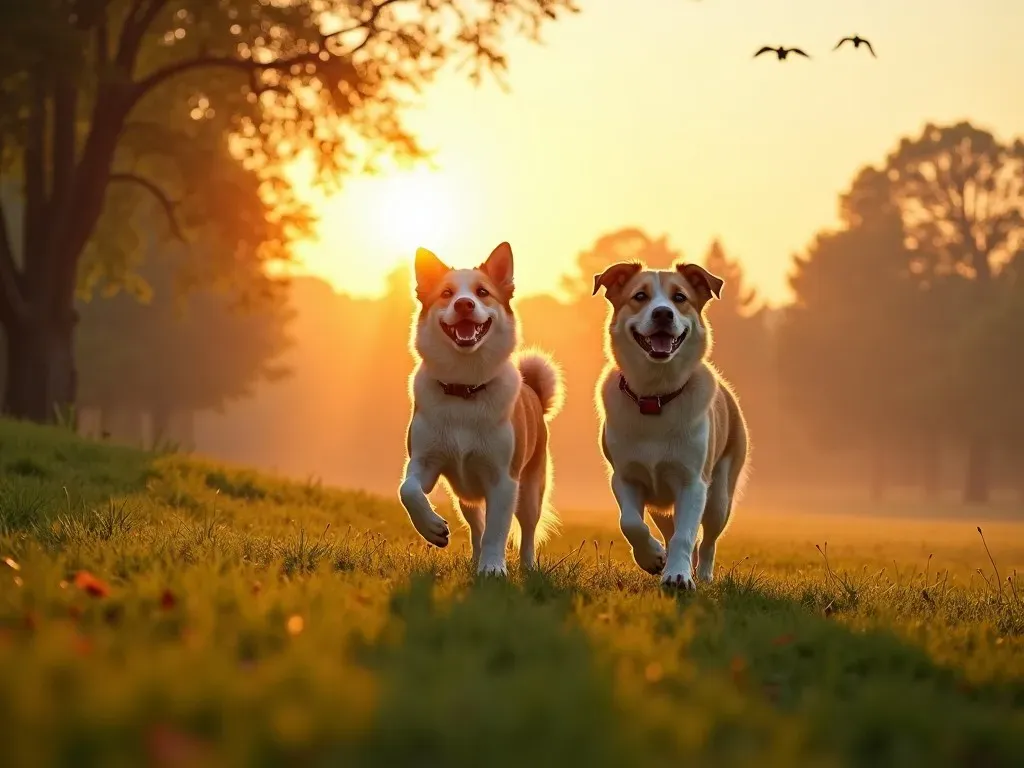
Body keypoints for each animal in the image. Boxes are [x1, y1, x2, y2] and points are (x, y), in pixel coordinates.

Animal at [399, 243, 565, 573]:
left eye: (483, 292)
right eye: (446, 293)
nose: (464, 304)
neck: (465, 388)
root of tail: (534, 394)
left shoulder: (504, 480)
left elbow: (497, 530)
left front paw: (492, 568)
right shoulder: (424, 462)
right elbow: (408, 491)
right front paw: (432, 528)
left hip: (530, 490)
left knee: (527, 531)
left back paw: (528, 568)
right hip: (465, 496)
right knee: (476, 525)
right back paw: (473, 559)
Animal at [593, 262, 745, 593]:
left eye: (679, 297)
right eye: (640, 296)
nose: (663, 313)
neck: (656, 398)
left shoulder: (693, 483)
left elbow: (685, 535)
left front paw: (677, 575)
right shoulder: (624, 476)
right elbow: (630, 523)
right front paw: (653, 558)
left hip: (719, 496)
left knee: (707, 539)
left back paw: (703, 574)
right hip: (660, 506)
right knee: (666, 526)